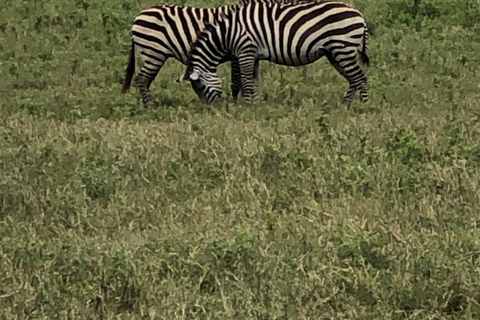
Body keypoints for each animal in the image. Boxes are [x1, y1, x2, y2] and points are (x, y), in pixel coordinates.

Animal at [119, 0, 302, 107]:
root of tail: (140, 15)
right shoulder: (237, 51)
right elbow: (237, 81)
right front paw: (237, 103)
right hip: (154, 52)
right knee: (142, 79)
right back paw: (150, 107)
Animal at [182, 0, 370, 104]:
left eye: (200, 87)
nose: (212, 109)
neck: (227, 33)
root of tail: (359, 14)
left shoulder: (245, 51)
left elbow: (246, 80)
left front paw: (246, 106)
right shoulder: (253, 55)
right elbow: (253, 82)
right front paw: (254, 104)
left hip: (343, 48)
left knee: (360, 77)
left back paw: (362, 106)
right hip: (334, 52)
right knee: (353, 79)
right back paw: (345, 105)